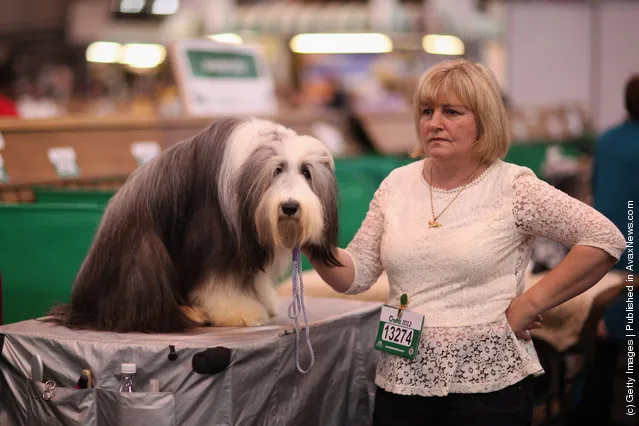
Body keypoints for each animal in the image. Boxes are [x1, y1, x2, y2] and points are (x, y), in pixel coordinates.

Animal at [48, 116, 342, 332]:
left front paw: (264, 300)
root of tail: (82, 306)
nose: (290, 206)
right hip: (144, 250)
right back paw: (191, 314)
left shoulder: (249, 243)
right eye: (277, 170)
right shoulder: (214, 234)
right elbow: (220, 281)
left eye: (306, 172)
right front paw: (239, 313)